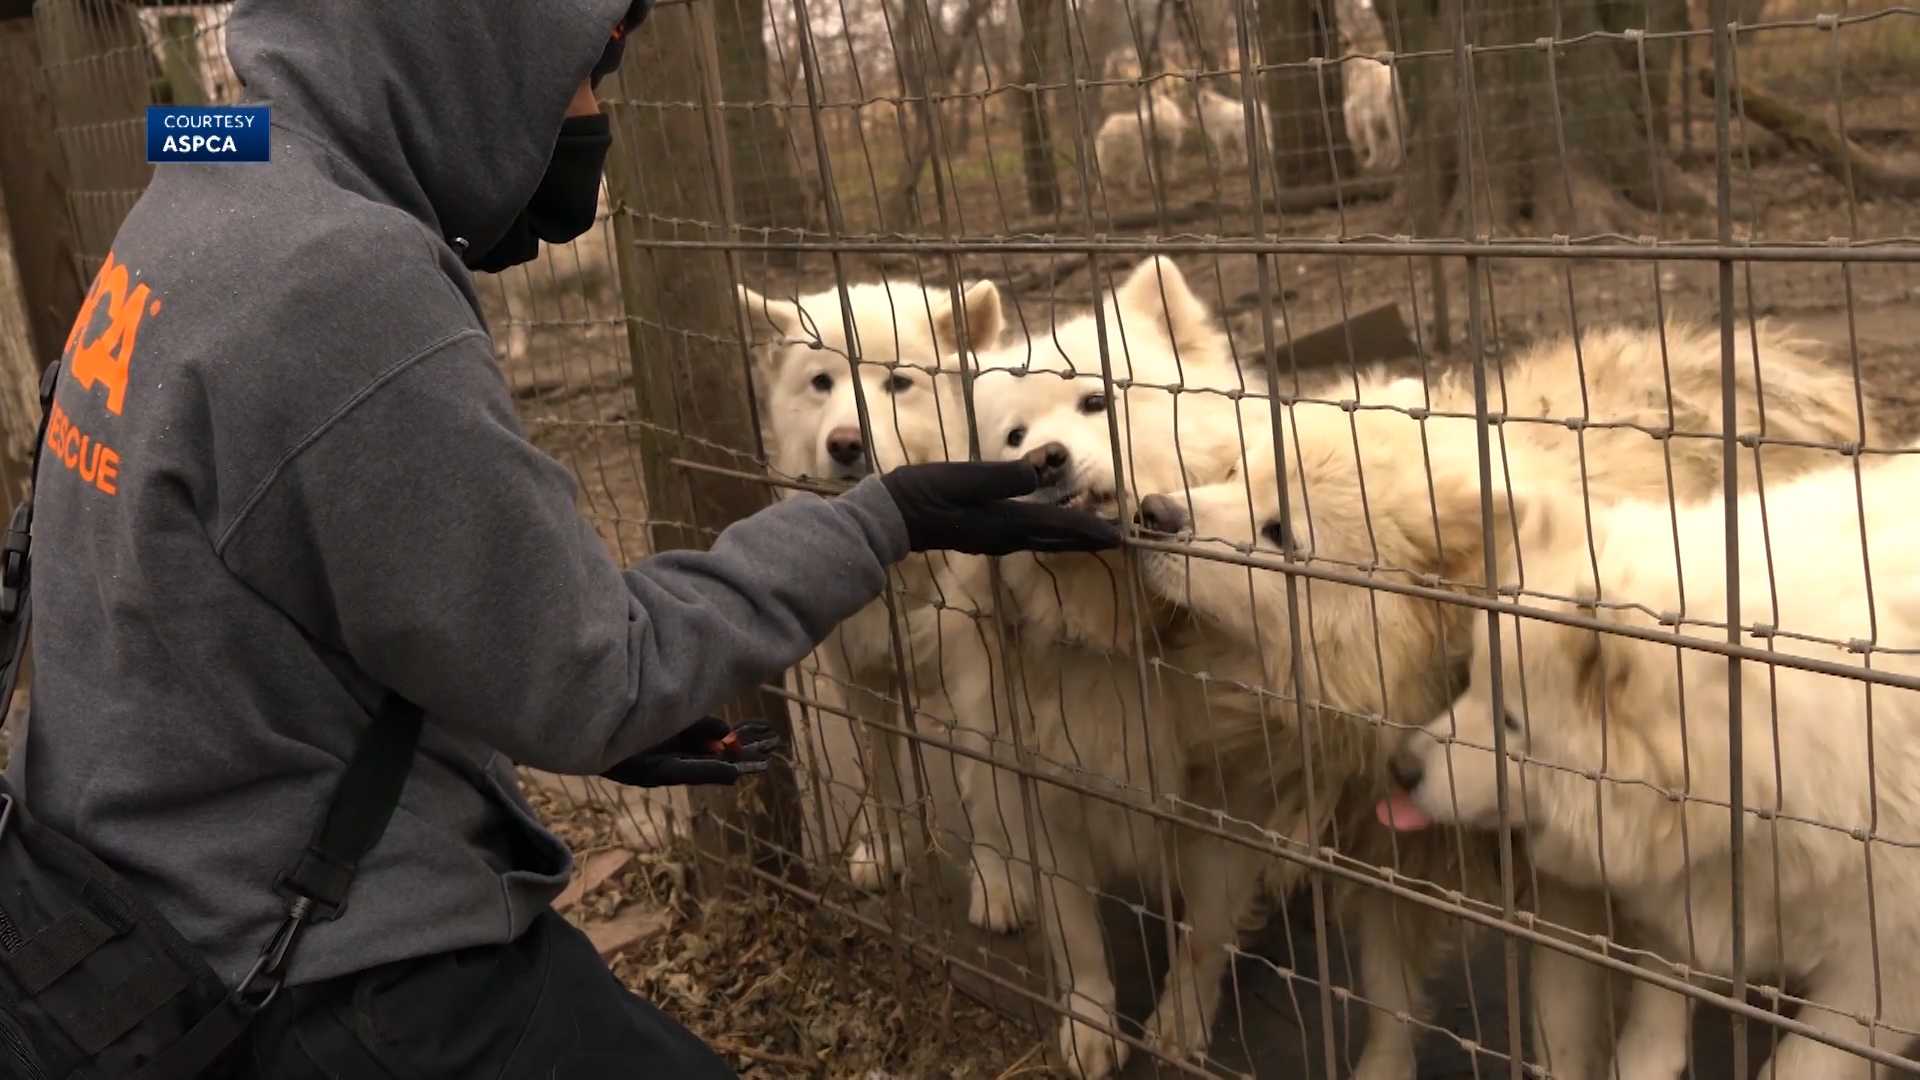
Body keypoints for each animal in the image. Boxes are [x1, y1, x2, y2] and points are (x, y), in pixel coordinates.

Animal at [737, 274, 1044, 926]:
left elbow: (985, 787)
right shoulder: (861, 678)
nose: (845, 444)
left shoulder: (975, 679)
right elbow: (879, 774)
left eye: (898, 382)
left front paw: (998, 884)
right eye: (822, 381)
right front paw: (884, 852)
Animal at [1382, 443, 1920, 1076]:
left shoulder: (1878, 980)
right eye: (1468, 684)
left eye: (1511, 722)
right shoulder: (1687, 913)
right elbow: (1650, 1030)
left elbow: (1799, 1062)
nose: (1400, 769)